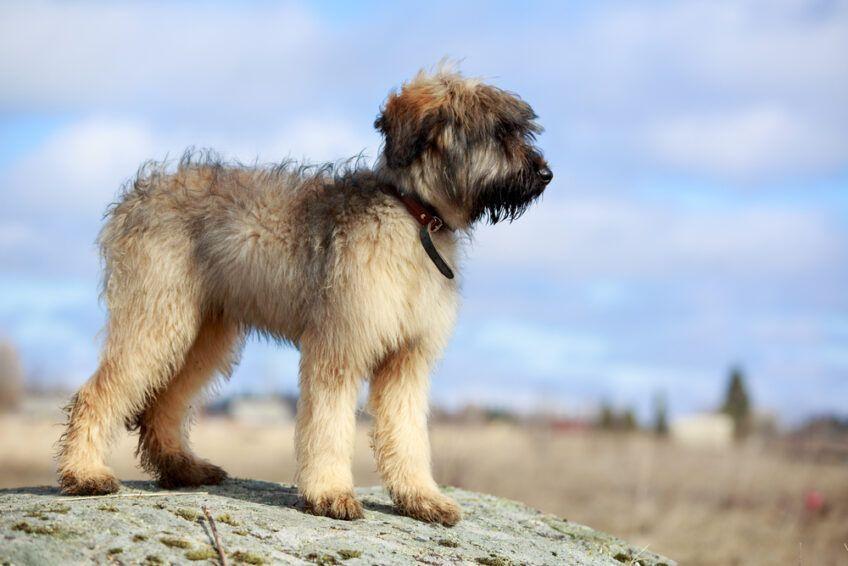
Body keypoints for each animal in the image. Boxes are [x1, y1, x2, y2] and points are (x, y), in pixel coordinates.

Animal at [56, 67, 552, 528]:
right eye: (498, 131)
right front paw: (330, 494)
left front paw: (421, 498)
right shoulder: (339, 344)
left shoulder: (407, 358)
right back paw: (84, 474)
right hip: (158, 316)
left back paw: (183, 468)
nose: (546, 174)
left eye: (519, 129)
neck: (414, 217)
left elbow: (408, 433)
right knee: (98, 393)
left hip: (203, 334)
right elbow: (328, 425)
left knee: (163, 404)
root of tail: (137, 197)